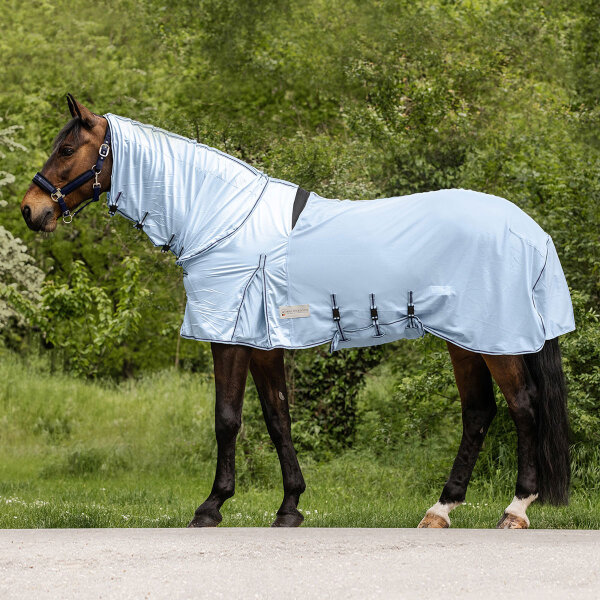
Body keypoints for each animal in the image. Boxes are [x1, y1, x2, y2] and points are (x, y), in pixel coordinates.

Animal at [19, 95, 572, 528]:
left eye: (66, 148)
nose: (29, 210)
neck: (221, 218)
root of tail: (529, 228)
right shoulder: (263, 345)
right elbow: (277, 418)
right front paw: (289, 507)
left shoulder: (230, 338)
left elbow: (228, 419)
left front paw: (211, 506)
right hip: (467, 341)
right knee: (479, 413)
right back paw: (441, 510)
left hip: (495, 340)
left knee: (523, 406)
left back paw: (516, 509)